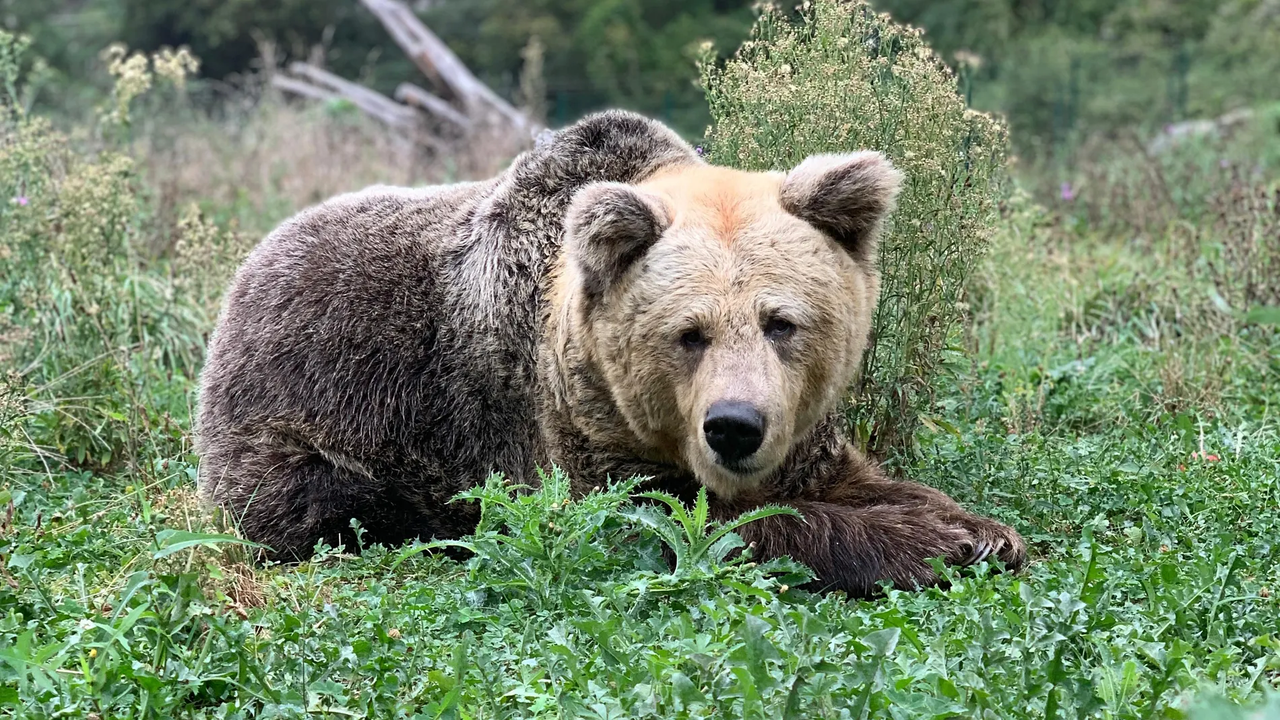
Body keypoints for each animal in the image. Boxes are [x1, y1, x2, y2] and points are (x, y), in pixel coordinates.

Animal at [195, 109, 1025, 597]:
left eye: (781, 322)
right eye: (688, 332)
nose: (735, 426)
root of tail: (251, 262)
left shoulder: (800, 430)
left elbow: (852, 477)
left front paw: (984, 532)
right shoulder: (558, 424)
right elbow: (672, 521)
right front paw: (932, 546)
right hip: (306, 409)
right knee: (331, 503)